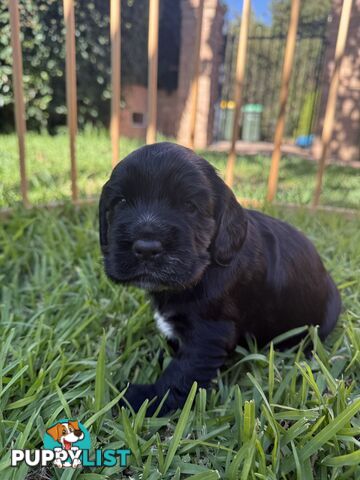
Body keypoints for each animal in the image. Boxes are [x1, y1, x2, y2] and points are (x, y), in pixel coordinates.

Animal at [98, 142, 340, 416]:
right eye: (121, 202)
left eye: (190, 206)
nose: (147, 248)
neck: (205, 266)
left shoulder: (210, 333)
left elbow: (182, 373)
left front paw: (144, 399)